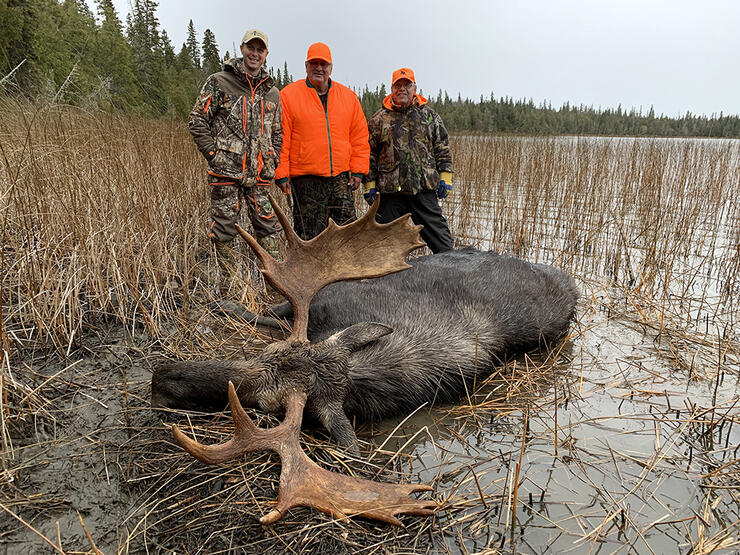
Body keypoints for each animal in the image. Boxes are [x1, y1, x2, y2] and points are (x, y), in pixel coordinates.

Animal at [150, 198, 580, 528]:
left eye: (266, 406)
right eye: (263, 355)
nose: (159, 378)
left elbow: (269, 317)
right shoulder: (322, 306)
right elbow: (268, 312)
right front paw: (224, 305)